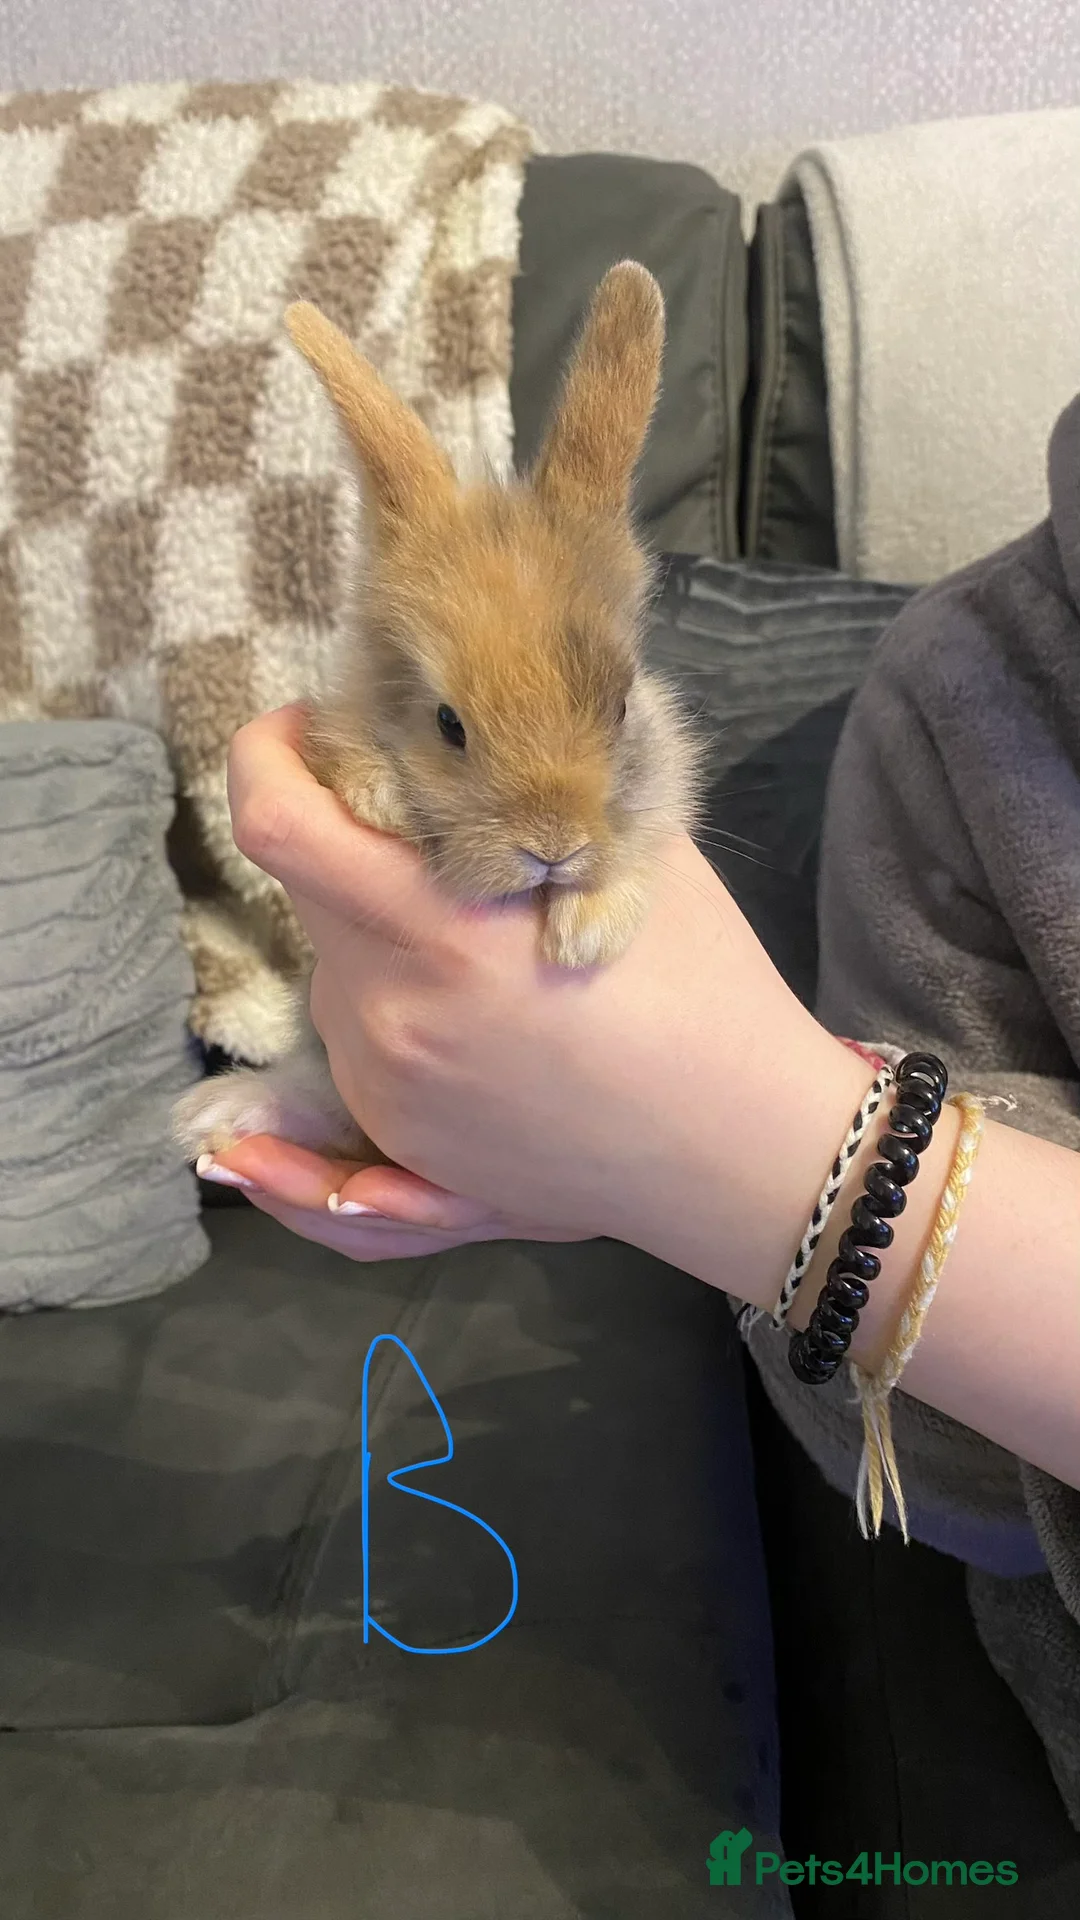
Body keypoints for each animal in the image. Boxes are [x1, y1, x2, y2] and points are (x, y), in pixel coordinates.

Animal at [172, 261, 704, 1174]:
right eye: (448, 724)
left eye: (621, 704)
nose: (553, 847)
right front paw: (381, 799)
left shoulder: (663, 786)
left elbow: (643, 843)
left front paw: (585, 935)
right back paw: (218, 1113)